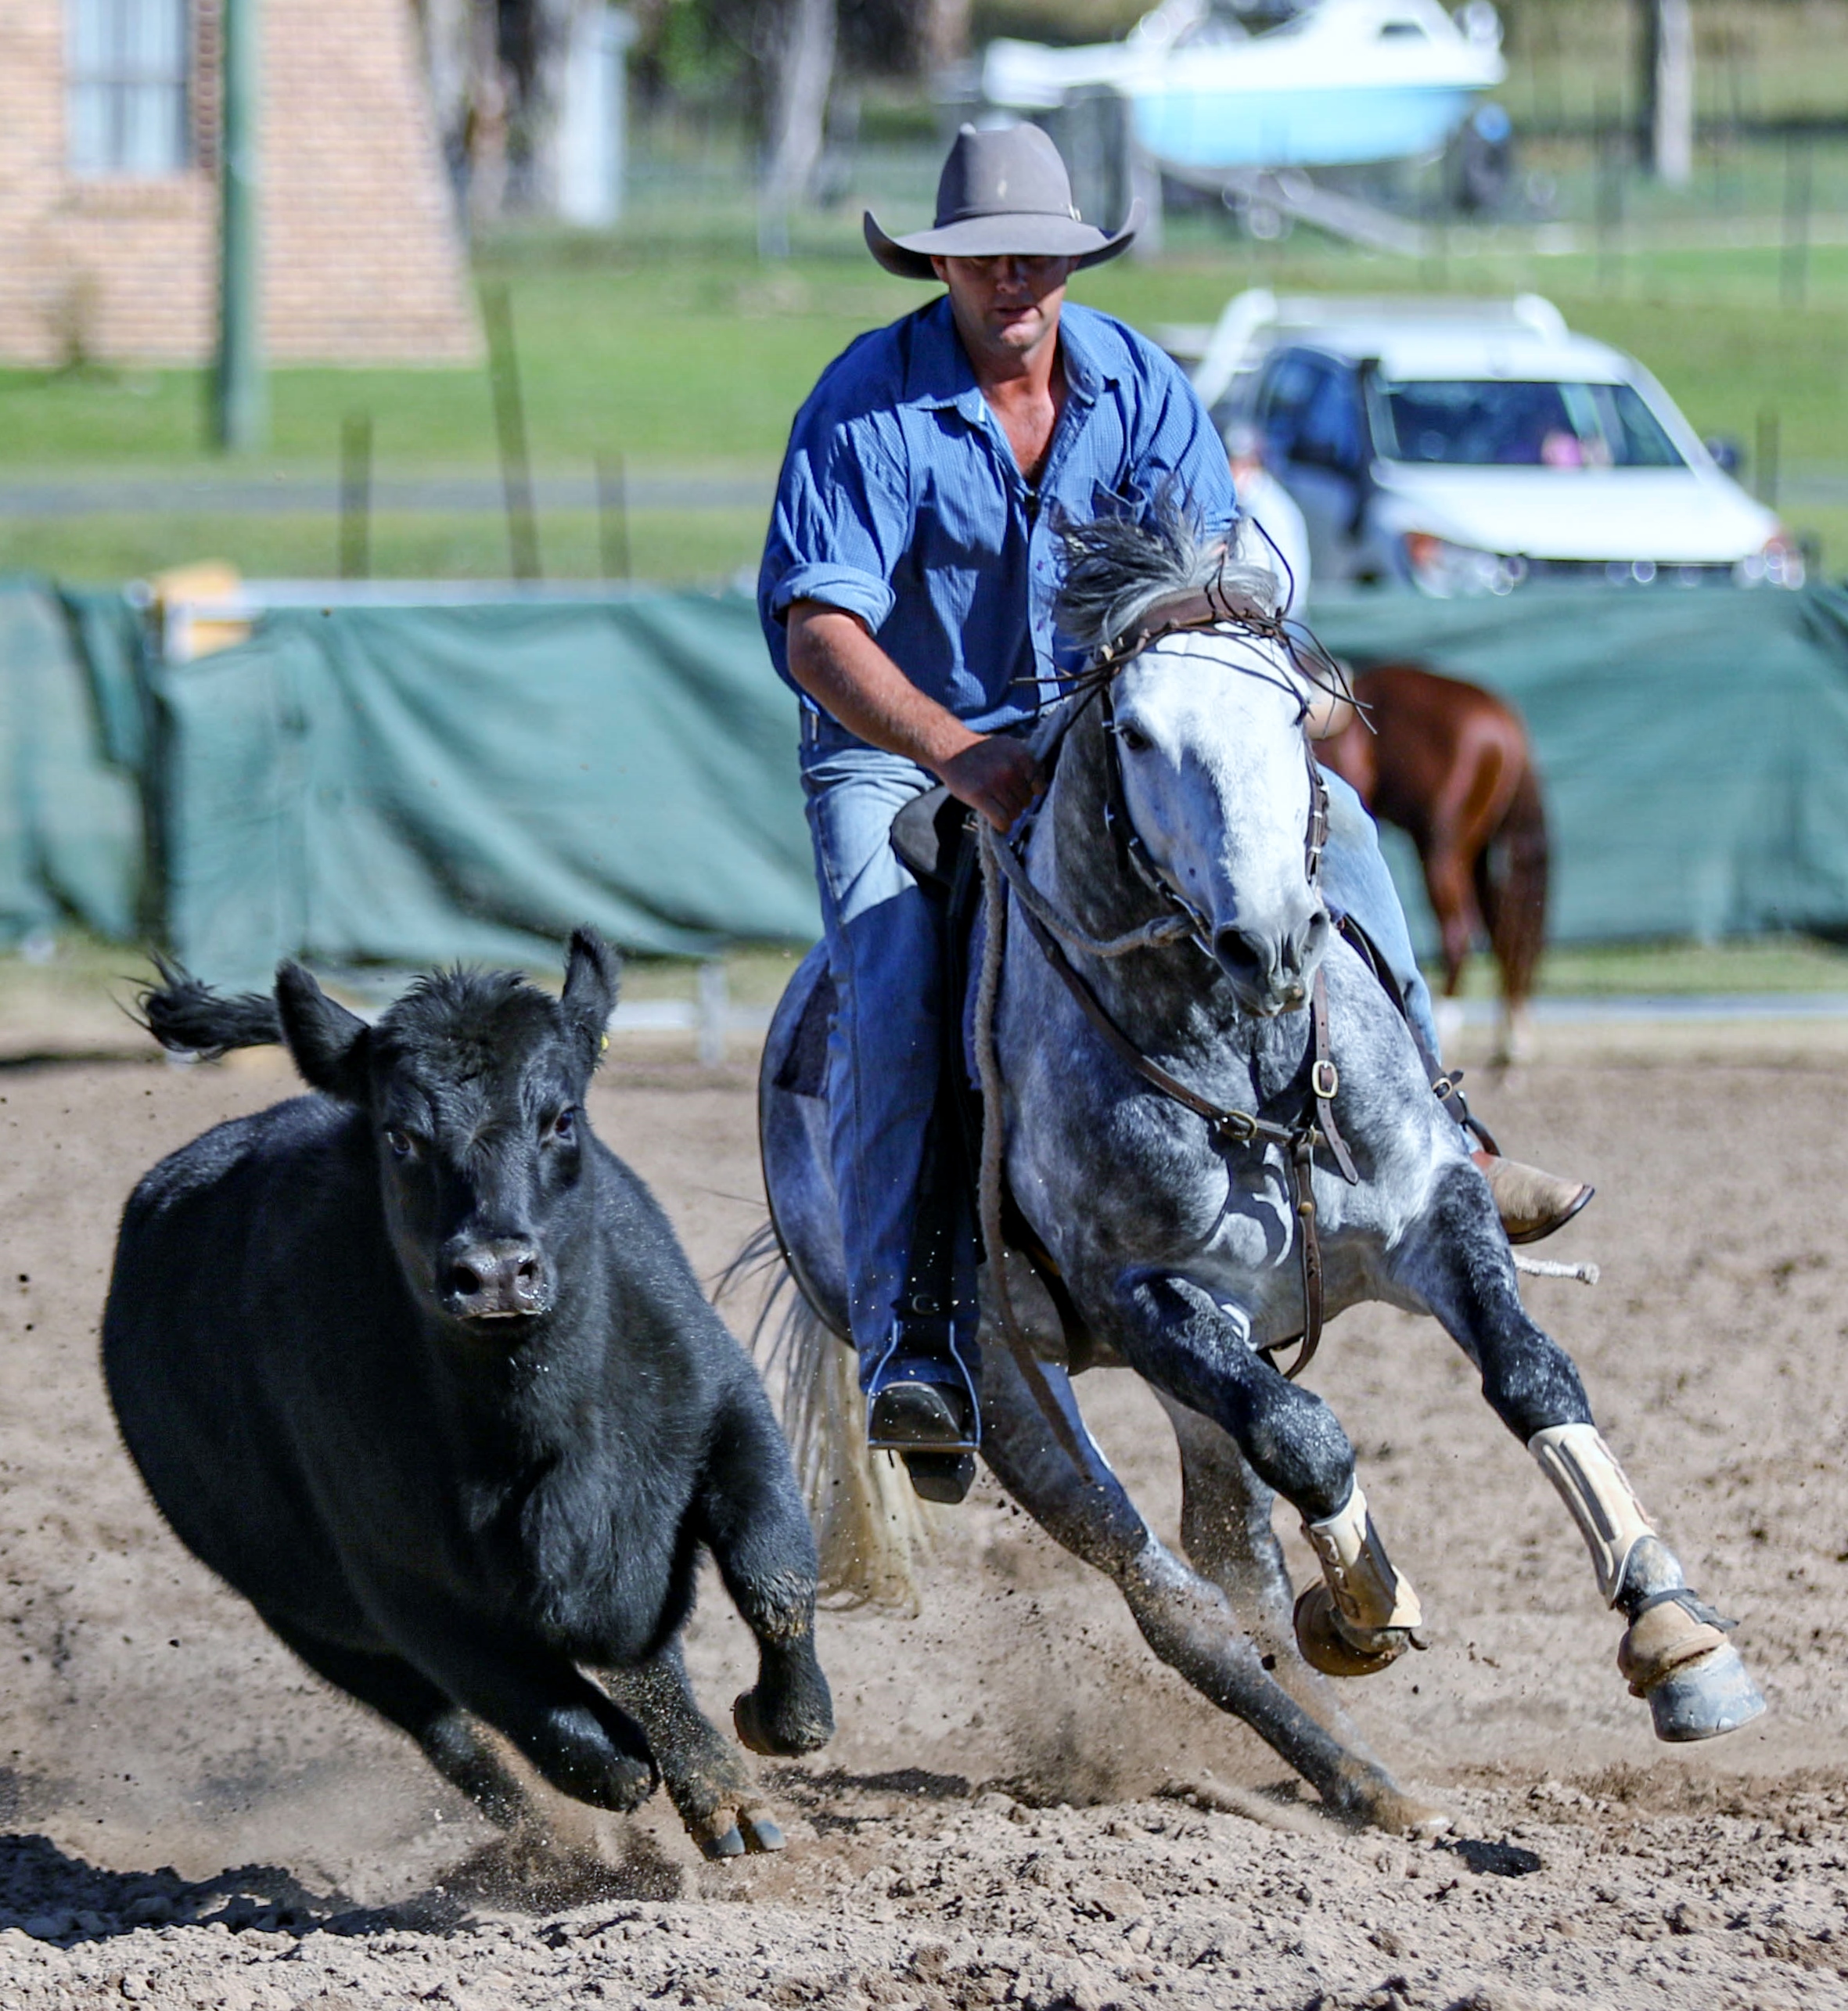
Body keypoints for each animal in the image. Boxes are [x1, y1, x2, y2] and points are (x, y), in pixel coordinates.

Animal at [102, 930, 833, 1861]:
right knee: (457, 1740)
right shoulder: (404, 1584)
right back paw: (559, 1844)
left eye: (562, 1117)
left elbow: (776, 1575)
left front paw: (774, 1723)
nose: (492, 1273)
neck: (546, 1435)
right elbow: (559, 1728)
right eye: (400, 1136)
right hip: (305, 1617)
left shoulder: (730, 1415)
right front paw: (612, 1803)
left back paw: (724, 1799)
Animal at [1318, 665, 1548, 1067]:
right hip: (1475, 849)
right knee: (1502, 927)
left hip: (1442, 844)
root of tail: (1504, 720)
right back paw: (1511, 1036)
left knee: (1458, 930)